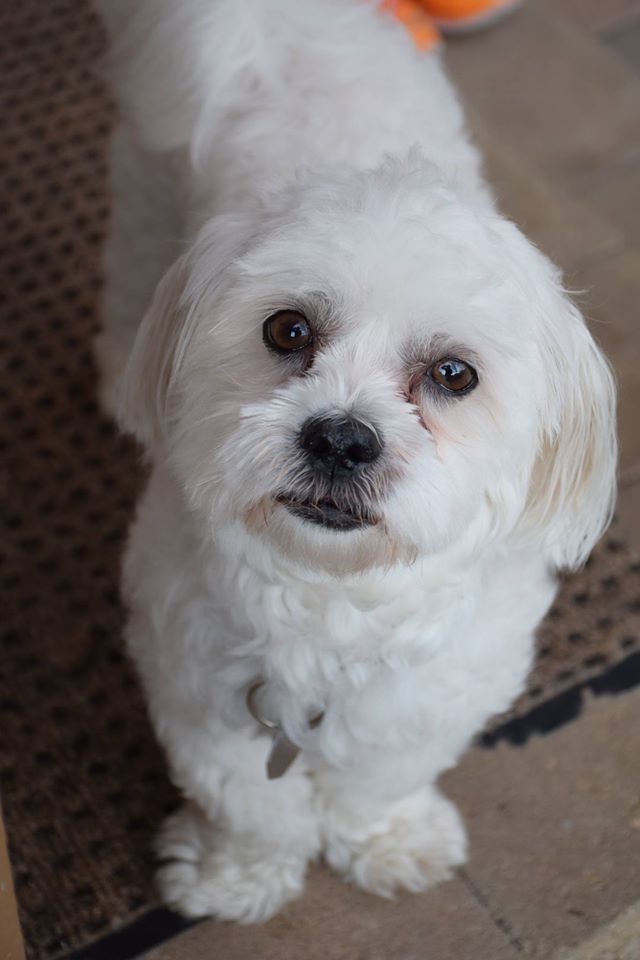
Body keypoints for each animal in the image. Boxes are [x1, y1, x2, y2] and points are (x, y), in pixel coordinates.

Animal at [95, 0, 616, 924]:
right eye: (287, 329)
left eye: (454, 375)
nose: (342, 437)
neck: (330, 598)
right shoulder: (196, 684)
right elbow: (250, 800)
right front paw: (238, 873)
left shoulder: (435, 690)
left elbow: (379, 776)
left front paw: (386, 838)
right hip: (144, 203)